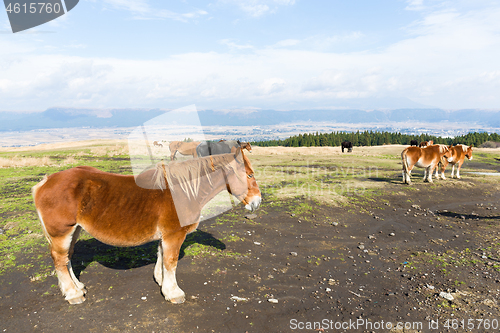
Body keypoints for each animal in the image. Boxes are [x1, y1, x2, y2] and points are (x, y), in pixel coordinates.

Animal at [30, 150, 262, 304]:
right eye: (249, 175)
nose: (257, 202)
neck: (183, 190)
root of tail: (45, 182)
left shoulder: (165, 236)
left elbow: (161, 258)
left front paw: (161, 282)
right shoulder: (173, 235)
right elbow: (171, 262)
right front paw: (173, 293)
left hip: (74, 230)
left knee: (67, 258)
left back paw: (77, 286)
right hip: (61, 232)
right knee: (60, 260)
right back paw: (74, 294)